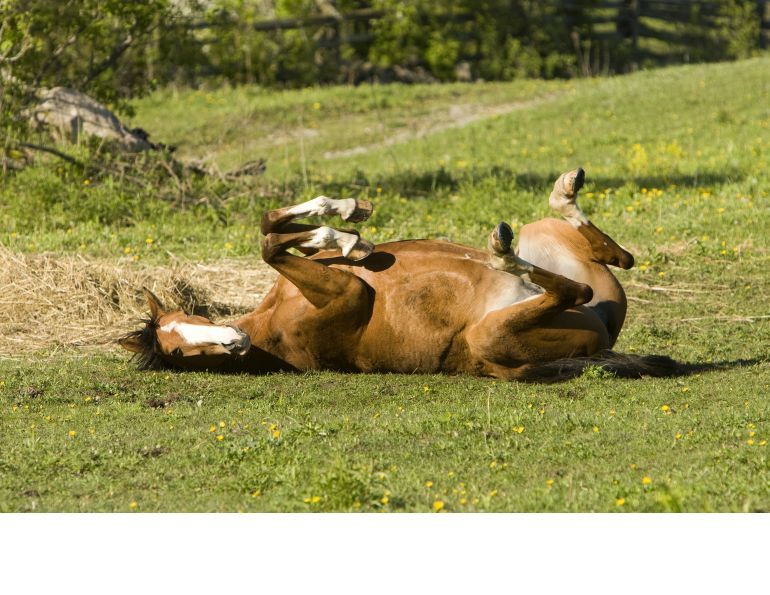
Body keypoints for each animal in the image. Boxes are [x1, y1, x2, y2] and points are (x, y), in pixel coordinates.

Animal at [119, 168, 677, 381]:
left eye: (185, 317)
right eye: (175, 352)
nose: (233, 341)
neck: (269, 329)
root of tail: (603, 337)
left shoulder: (333, 280)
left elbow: (270, 228)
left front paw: (345, 224)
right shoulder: (348, 293)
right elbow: (269, 243)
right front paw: (345, 234)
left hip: (551, 243)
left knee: (613, 254)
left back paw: (561, 192)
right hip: (494, 333)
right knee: (572, 286)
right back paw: (501, 251)